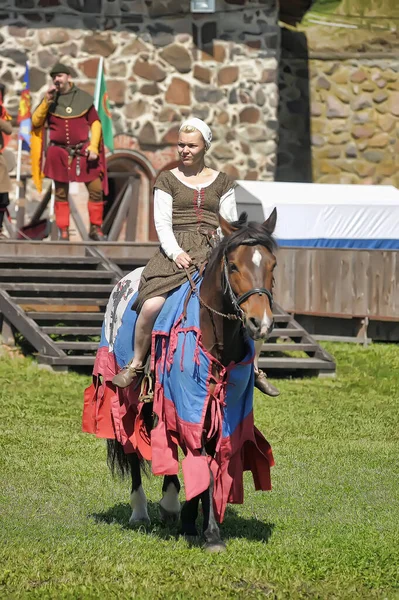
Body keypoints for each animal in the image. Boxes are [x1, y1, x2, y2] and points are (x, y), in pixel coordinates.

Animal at [104, 210, 276, 552]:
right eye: (233, 265)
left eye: (272, 265)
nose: (260, 323)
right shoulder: (187, 400)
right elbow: (199, 461)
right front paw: (208, 533)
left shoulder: (221, 409)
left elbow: (209, 461)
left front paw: (193, 522)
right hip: (129, 392)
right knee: (132, 446)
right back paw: (141, 511)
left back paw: (170, 504)